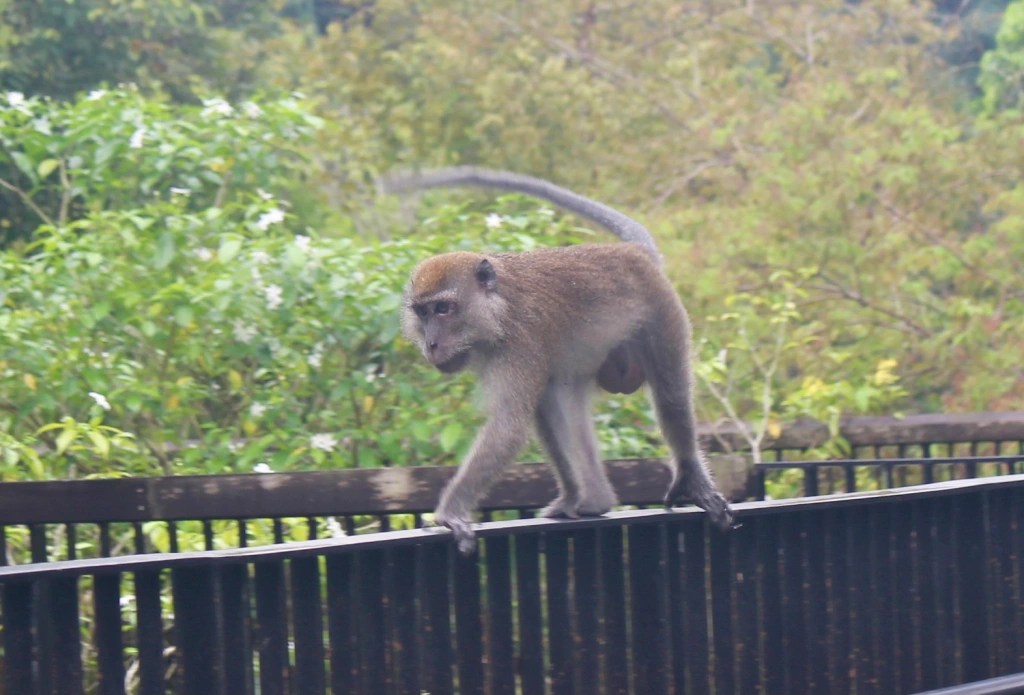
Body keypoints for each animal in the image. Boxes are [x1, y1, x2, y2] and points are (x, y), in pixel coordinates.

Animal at [383, 167, 734, 554]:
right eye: (422, 312)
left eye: (444, 309)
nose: (430, 343)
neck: (500, 310)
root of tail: (633, 251)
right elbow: (538, 414)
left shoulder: (521, 343)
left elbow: (509, 427)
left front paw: (450, 514)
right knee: (558, 401)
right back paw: (590, 499)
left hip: (662, 313)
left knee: (672, 397)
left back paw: (689, 479)